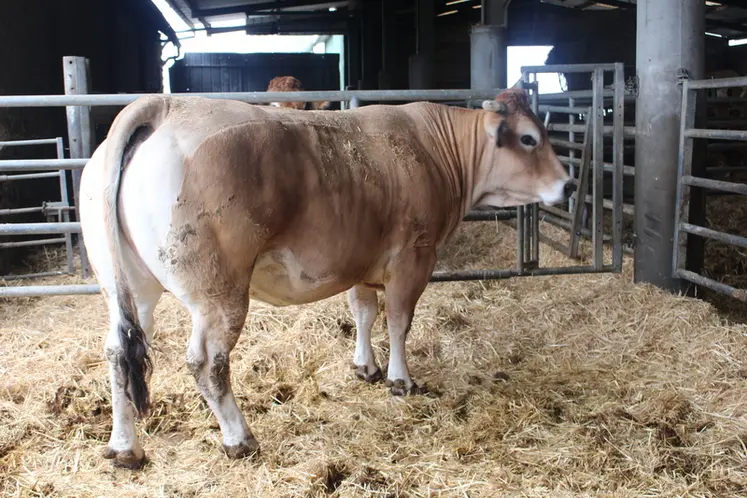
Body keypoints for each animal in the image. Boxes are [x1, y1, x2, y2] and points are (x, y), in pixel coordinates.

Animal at [78, 88, 572, 469]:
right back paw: (240, 438)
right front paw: (401, 380)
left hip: (130, 287)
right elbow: (398, 322)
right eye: (529, 138)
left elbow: (364, 313)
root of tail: (164, 105)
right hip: (219, 294)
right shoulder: (413, 259)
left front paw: (365, 367)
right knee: (206, 362)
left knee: (118, 351)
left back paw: (124, 448)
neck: (434, 149)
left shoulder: (361, 261)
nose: (568, 185)